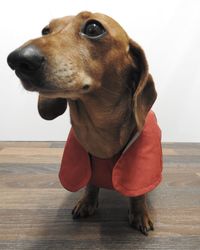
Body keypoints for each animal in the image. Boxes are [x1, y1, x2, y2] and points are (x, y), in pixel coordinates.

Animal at [7, 10, 162, 235]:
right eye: (45, 30)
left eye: (93, 28)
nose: (18, 59)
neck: (100, 128)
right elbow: (90, 182)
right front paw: (87, 202)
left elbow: (137, 192)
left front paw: (139, 212)